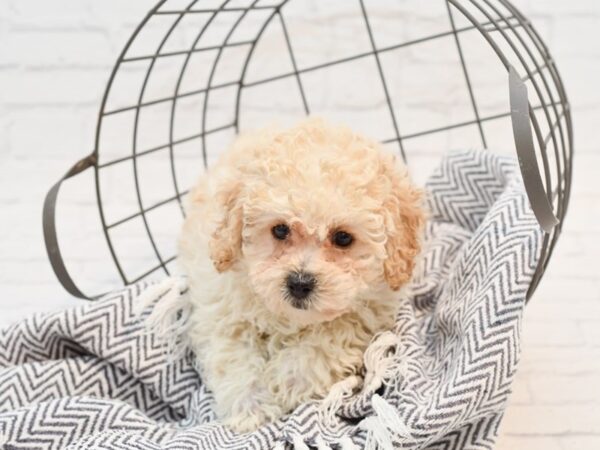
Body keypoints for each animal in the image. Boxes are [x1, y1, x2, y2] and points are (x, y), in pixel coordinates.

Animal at [176, 118, 424, 430]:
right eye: (280, 229)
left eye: (343, 238)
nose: (299, 284)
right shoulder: (221, 309)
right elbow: (235, 356)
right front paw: (252, 407)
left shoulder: (369, 311)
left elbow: (325, 341)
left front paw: (286, 380)